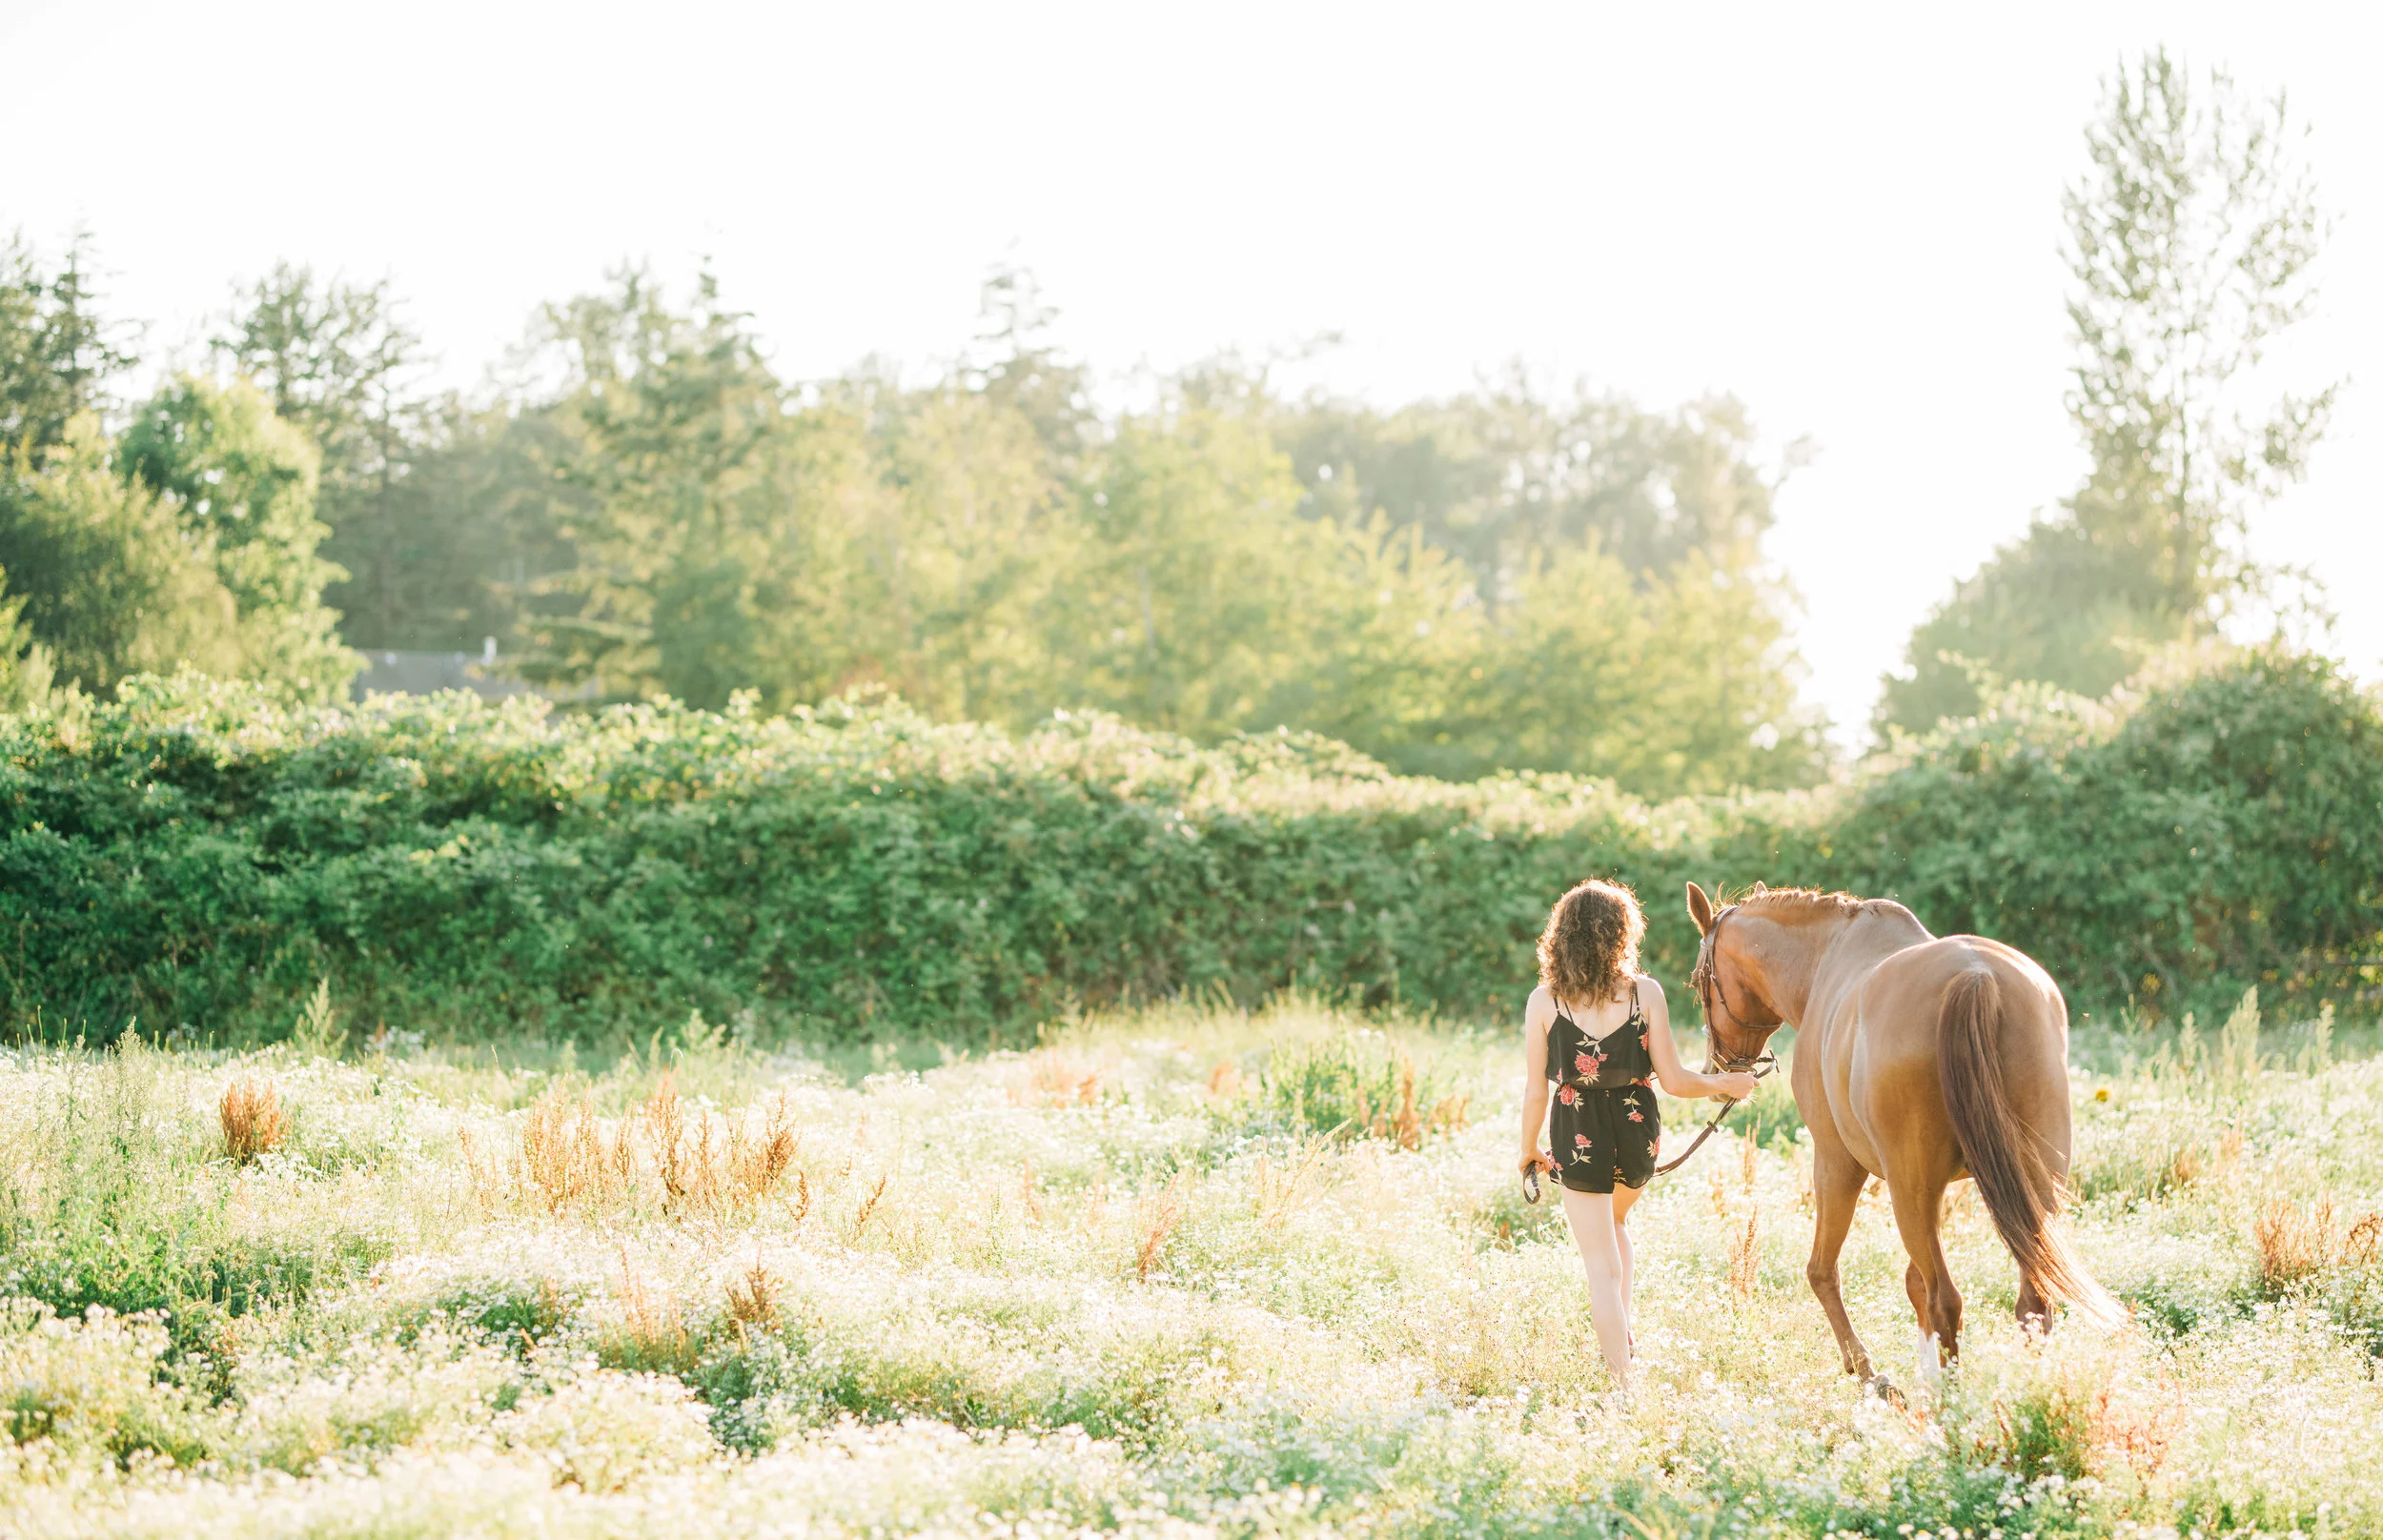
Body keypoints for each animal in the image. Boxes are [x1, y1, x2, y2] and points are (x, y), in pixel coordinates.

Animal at [1684, 881, 2120, 1387]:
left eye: (1697, 982)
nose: (1715, 1073)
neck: (1826, 957)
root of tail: (1975, 977)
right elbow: (1914, 1283)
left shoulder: (1836, 1163)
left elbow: (1823, 1271)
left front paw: (1869, 1373)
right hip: (2033, 1185)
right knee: (2030, 1300)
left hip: (1909, 1191)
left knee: (1946, 1299)